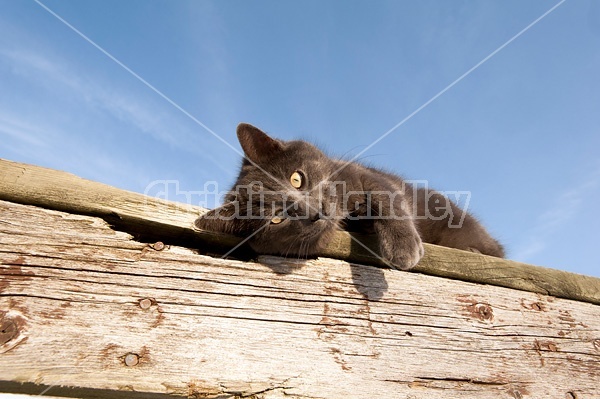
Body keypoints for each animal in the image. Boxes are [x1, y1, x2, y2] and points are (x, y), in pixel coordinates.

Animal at [195, 123, 504, 270]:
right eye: (276, 219)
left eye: (296, 178)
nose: (315, 211)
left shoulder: (364, 175)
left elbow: (387, 198)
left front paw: (401, 247)